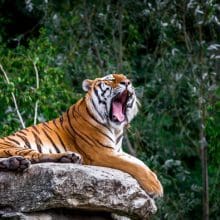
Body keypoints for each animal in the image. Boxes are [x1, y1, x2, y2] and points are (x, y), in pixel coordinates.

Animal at [0, 73, 162, 197]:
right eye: (110, 79)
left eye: (127, 79)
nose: (127, 83)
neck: (115, 129)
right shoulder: (101, 153)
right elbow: (133, 165)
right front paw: (156, 187)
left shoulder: (117, 150)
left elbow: (139, 162)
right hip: (13, 145)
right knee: (36, 156)